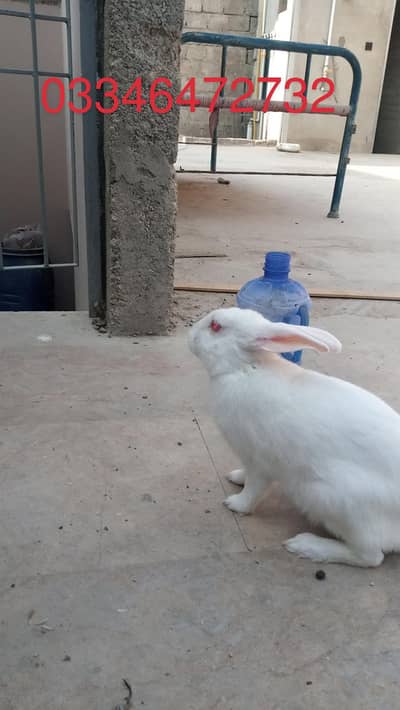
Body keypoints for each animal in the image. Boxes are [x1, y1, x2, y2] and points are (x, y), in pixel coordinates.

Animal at [188, 306, 400, 567]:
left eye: (216, 326)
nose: (190, 335)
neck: (244, 368)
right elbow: (245, 476)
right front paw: (235, 477)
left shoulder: (259, 460)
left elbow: (253, 489)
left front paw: (235, 504)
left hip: (334, 501)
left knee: (370, 556)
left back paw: (305, 545)